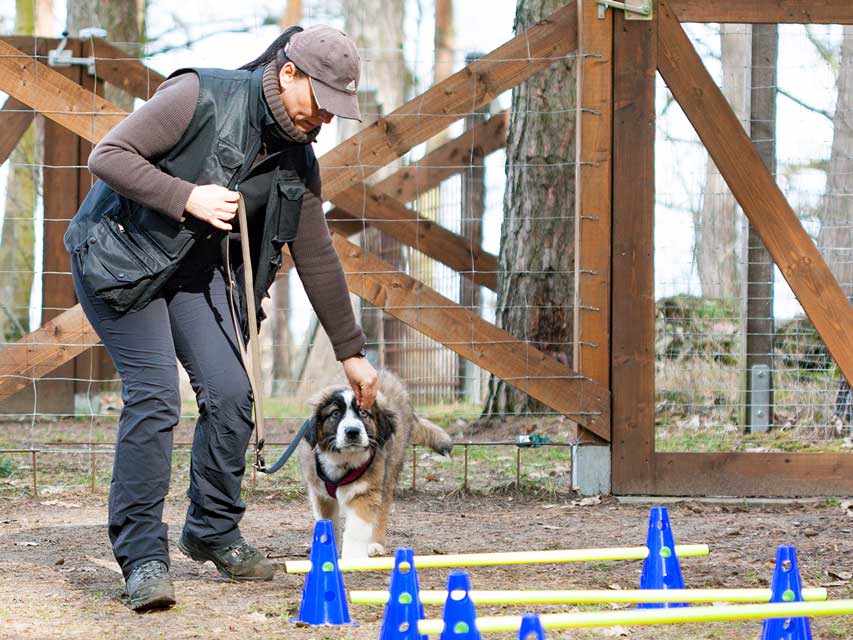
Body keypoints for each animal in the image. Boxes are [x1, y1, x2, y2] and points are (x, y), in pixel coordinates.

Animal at [298, 370, 450, 560]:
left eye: (364, 413)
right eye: (335, 413)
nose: (352, 432)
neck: (344, 459)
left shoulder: (365, 493)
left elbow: (356, 531)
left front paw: (352, 558)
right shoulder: (320, 494)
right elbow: (327, 524)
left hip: (389, 471)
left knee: (382, 510)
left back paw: (375, 544)